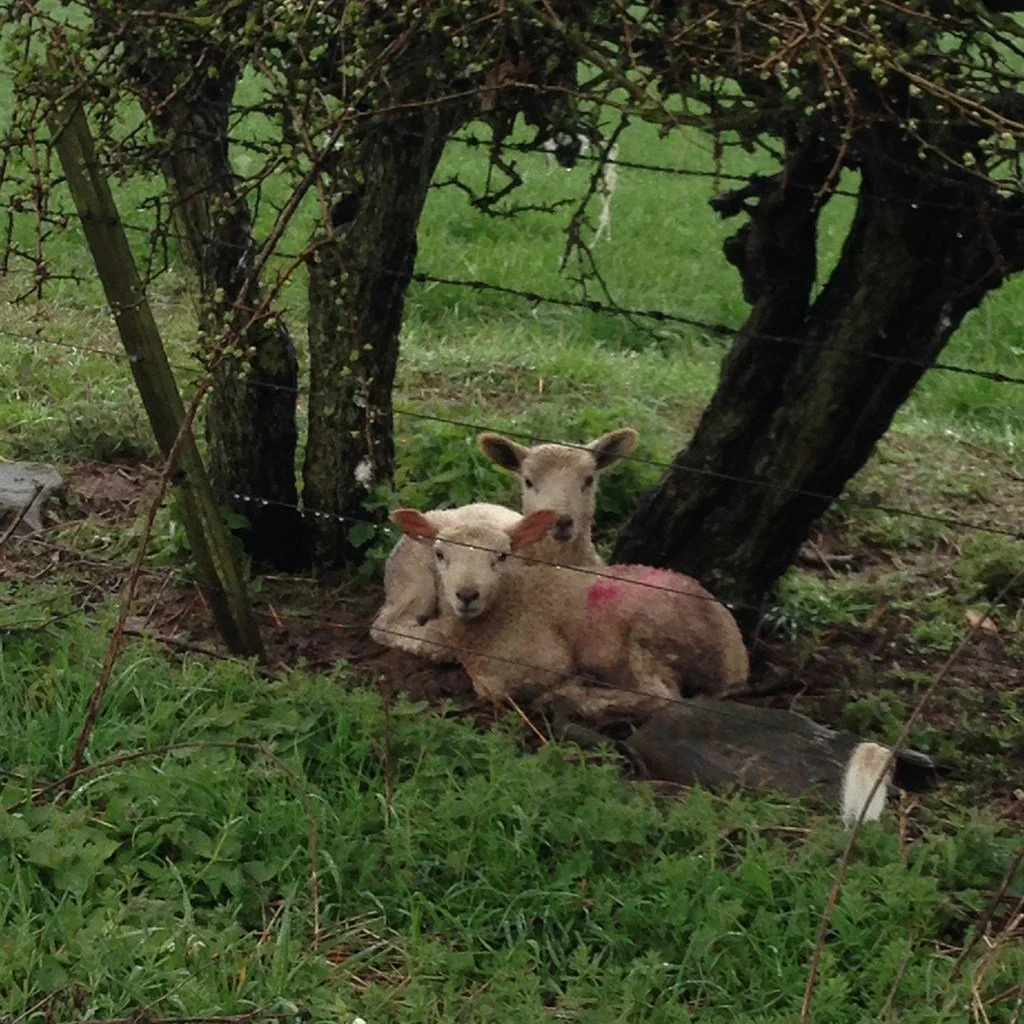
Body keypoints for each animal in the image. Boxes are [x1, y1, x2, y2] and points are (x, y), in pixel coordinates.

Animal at [386, 507, 749, 707]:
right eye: (439, 554)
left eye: (501, 556)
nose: (467, 594)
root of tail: (737, 653)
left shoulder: (545, 658)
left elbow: (493, 687)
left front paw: (565, 689)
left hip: (653, 632)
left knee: (662, 697)